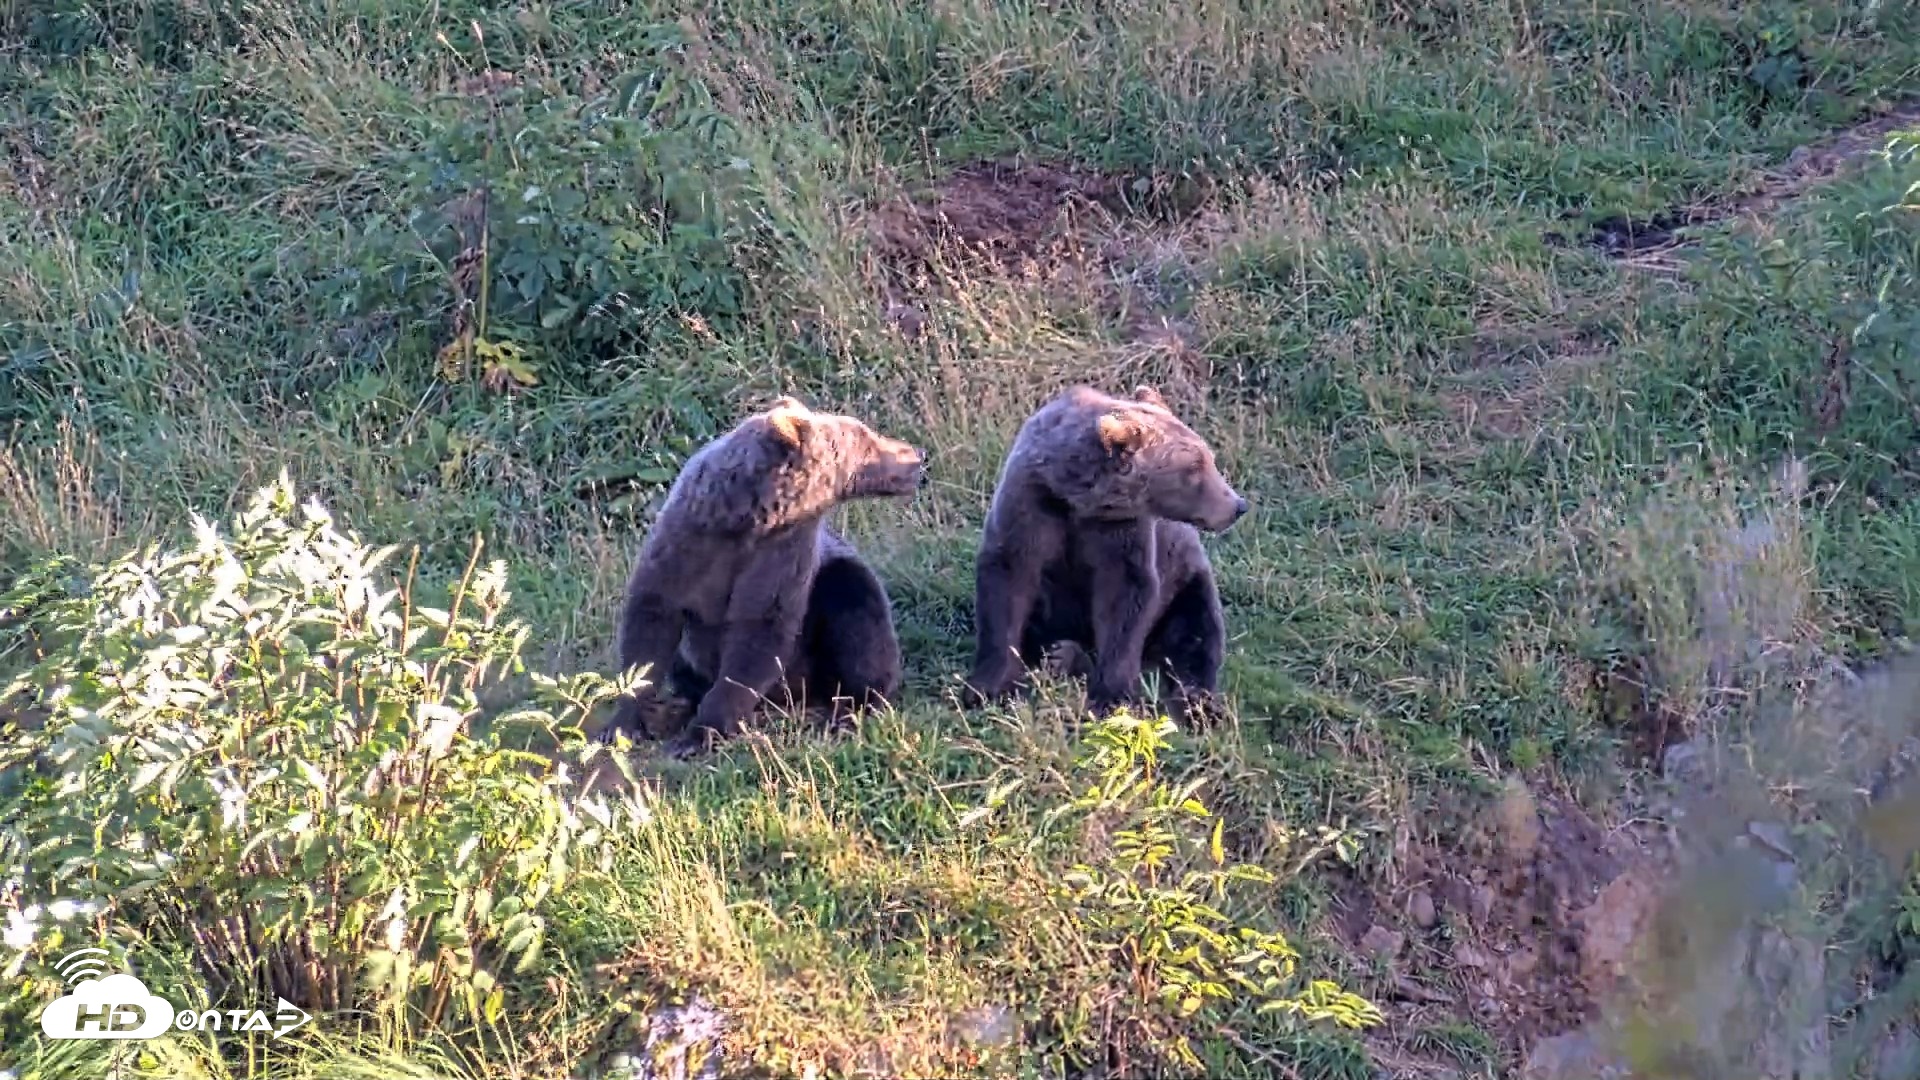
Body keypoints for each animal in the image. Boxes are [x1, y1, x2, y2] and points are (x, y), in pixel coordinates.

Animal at [598, 395, 926, 759]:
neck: (748, 517)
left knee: (857, 604)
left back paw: (850, 709)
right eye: (865, 437)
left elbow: (758, 634)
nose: (916, 454)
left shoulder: (783, 553)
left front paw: (699, 735)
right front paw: (623, 723)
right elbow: (651, 622)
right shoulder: (687, 539)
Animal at [961, 384, 1248, 722]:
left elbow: (1125, 598)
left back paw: (1198, 700)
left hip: (1185, 580)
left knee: (1197, 630)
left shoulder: (1120, 532)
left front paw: (1112, 697)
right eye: (1194, 467)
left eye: (1207, 457)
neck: (1076, 500)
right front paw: (988, 687)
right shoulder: (1030, 504)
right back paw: (1063, 654)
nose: (1237, 505)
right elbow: (1008, 580)